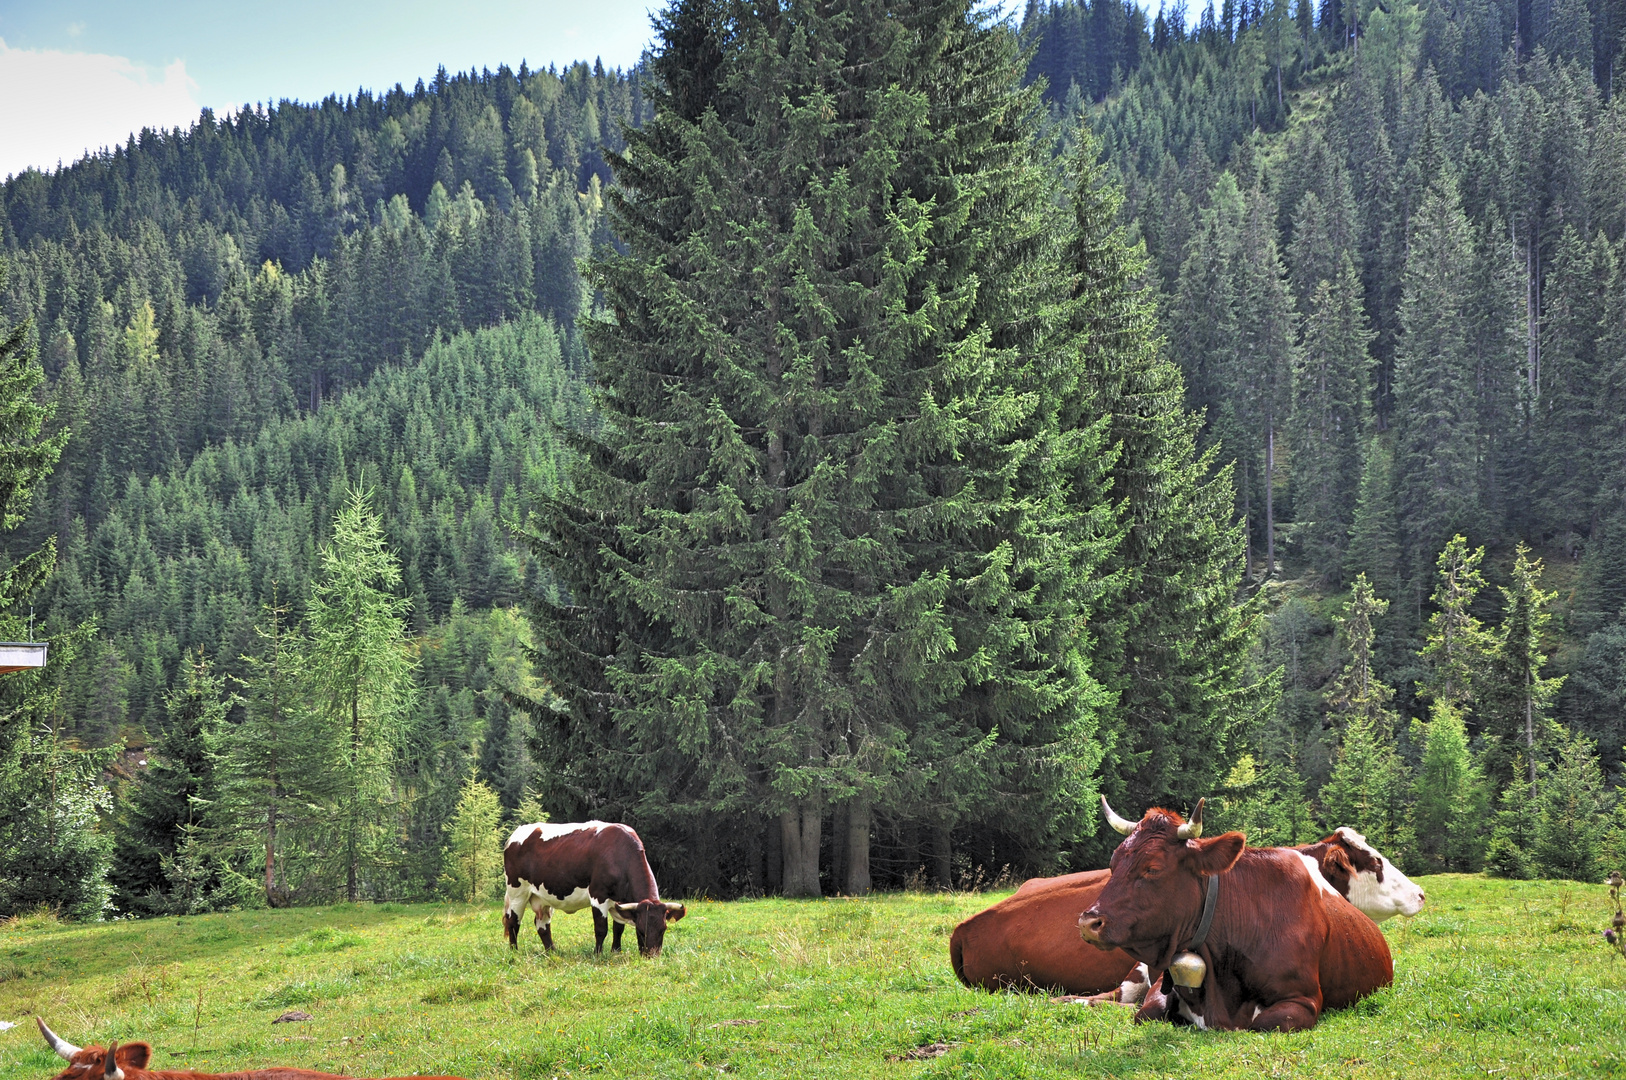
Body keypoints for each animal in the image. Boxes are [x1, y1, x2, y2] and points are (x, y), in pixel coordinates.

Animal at [507, 819, 686, 956]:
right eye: (641, 930)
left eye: (663, 929)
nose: (652, 956)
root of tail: (517, 833)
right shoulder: (598, 895)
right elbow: (601, 929)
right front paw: (598, 954)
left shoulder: (620, 901)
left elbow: (618, 928)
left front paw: (616, 951)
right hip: (517, 893)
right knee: (513, 922)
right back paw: (514, 952)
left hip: (542, 897)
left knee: (542, 924)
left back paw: (552, 952)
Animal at [1079, 796, 1398, 1034]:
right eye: (1113, 864)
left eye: (1153, 868)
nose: (1088, 922)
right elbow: (1146, 1011)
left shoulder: (1303, 1000)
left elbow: (1262, 1022)